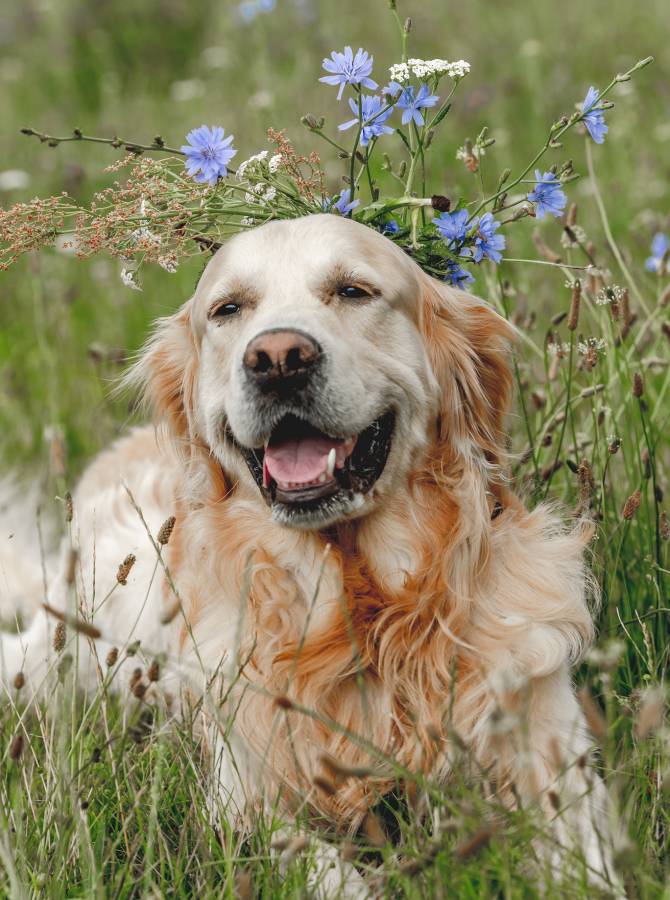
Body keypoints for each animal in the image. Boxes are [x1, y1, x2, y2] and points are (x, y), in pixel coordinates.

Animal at [0, 214, 620, 896]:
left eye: (353, 291)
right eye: (228, 309)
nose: (277, 359)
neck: (364, 609)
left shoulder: (547, 743)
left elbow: (582, 855)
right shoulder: (248, 796)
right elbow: (319, 865)